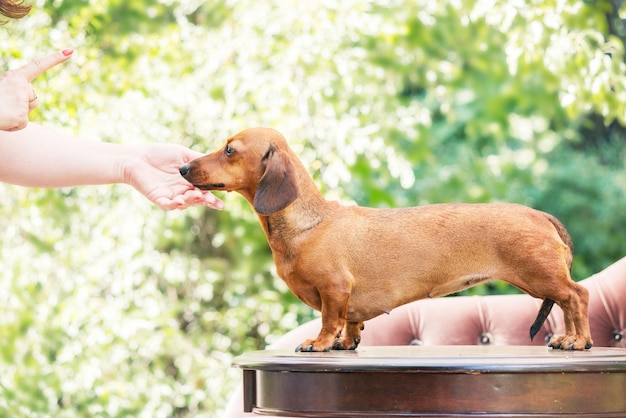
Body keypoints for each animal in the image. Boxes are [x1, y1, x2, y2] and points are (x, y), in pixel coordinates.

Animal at [179, 125, 588, 352]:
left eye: (229, 149)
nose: (182, 167)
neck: (309, 222)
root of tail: (541, 215)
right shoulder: (347, 299)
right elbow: (350, 323)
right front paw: (346, 344)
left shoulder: (334, 289)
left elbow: (329, 319)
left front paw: (320, 344)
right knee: (566, 302)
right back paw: (565, 339)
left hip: (540, 276)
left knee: (577, 296)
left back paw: (578, 341)